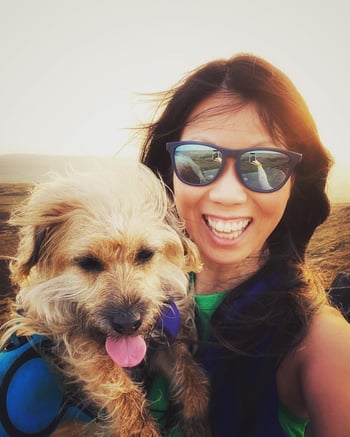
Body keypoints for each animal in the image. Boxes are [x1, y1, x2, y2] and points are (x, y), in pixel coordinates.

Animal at [0, 160, 209, 436]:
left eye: (145, 254)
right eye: (88, 262)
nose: (129, 323)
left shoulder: (162, 340)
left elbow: (192, 374)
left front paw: (197, 419)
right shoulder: (69, 336)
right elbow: (110, 374)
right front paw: (139, 427)